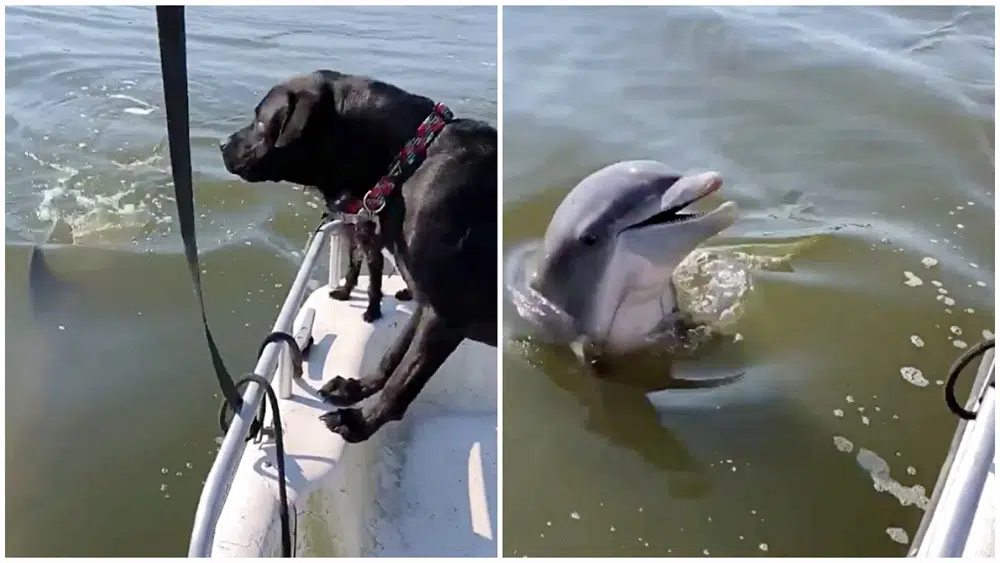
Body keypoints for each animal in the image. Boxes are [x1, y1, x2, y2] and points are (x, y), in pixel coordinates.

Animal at [222, 71, 496, 446]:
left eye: (261, 120)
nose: (222, 145)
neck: (408, 163)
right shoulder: (426, 302)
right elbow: (392, 356)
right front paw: (355, 389)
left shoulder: (444, 316)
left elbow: (402, 383)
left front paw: (359, 422)